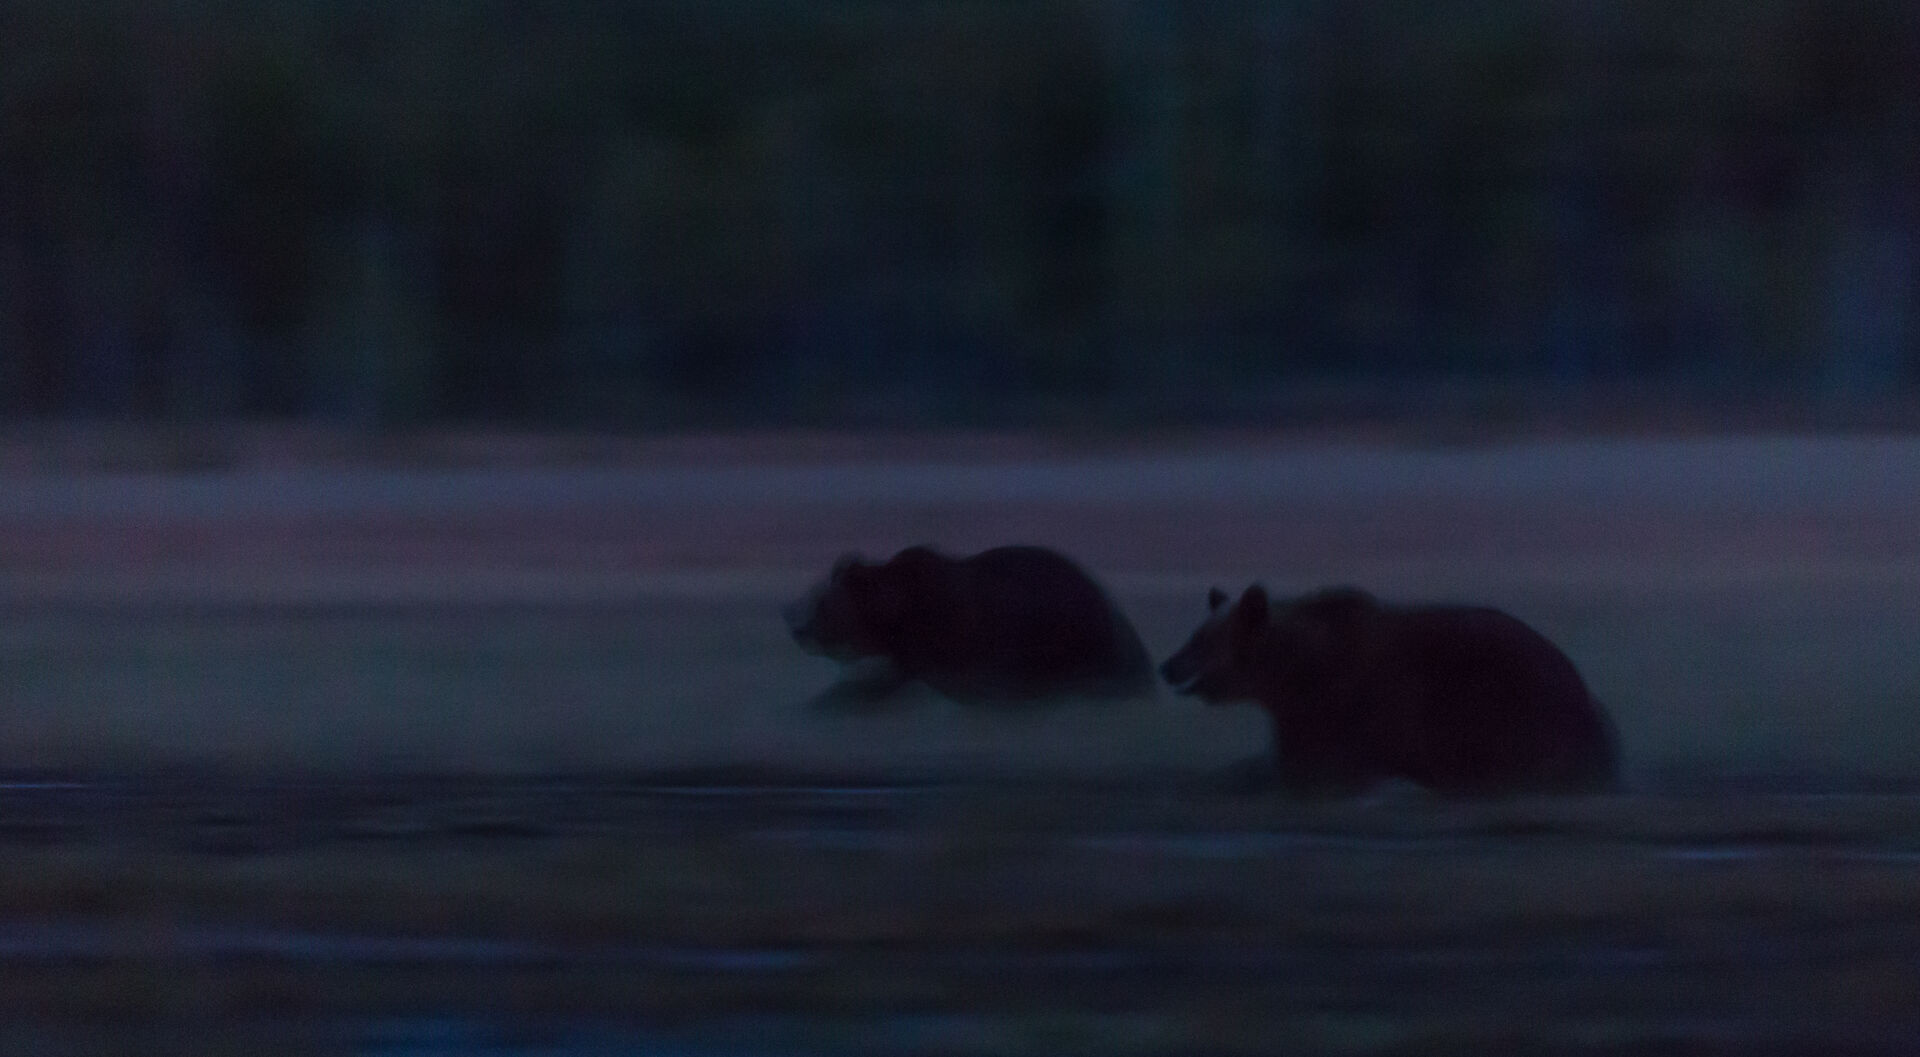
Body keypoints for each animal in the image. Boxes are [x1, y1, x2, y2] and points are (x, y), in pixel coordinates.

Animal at [1161, 584, 1620, 797]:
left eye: (1199, 640)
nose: (1167, 665)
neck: (1294, 671)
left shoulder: (1344, 708)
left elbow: (1319, 773)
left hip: (1512, 718)